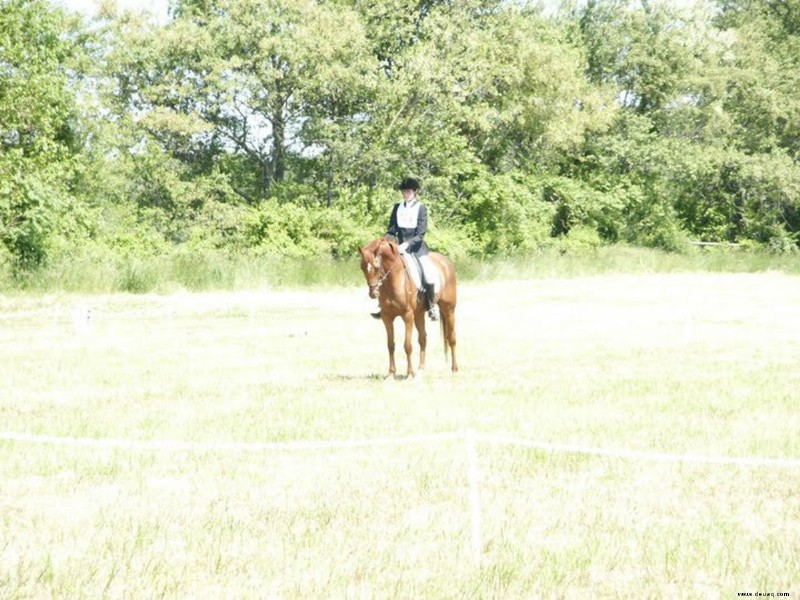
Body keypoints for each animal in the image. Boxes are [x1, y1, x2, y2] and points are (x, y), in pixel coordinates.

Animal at [360, 238, 460, 376]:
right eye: (362, 267)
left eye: (376, 266)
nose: (373, 294)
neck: (394, 279)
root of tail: (446, 262)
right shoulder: (387, 317)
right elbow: (390, 345)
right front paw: (391, 373)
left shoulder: (407, 316)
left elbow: (407, 345)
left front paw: (409, 373)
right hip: (419, 314)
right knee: (423, 338)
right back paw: (421, 369)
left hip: (449, 310)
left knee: (452, 338)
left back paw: (454, 369)